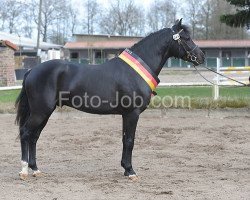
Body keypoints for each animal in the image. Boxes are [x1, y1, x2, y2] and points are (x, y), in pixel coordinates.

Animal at [15, 19, 204, 180]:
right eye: (186, 38)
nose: (201, 56)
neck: (135, 71)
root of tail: (31, 71)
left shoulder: (126, 115)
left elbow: (125, 140)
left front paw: (125, 168)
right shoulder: (132, 114)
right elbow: (130, 141)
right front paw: (130, 171)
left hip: (45, 113)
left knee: (34, 136)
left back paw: (35, 169)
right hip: (40, 111)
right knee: (25, 133)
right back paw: (24, 170)